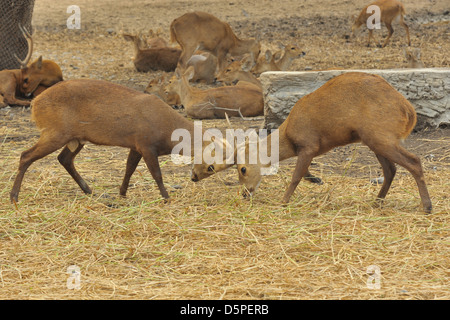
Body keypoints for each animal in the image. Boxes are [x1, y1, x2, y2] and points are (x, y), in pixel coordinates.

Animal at [194, 72, 432, 212]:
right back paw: (376, 201)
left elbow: (295, 176)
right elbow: (305, 172)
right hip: (374, 139)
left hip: (381, 135)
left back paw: (427, 206)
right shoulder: (312, 148)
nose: (245, 193)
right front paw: (316, 180)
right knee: (391, 169)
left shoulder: (309, 144)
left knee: (414, 161)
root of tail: (408, 112)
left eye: (242, 169)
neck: (289, 135)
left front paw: (283, 201)